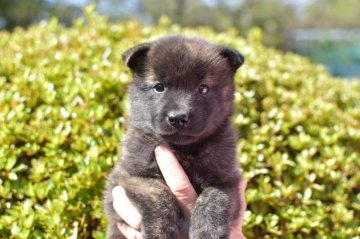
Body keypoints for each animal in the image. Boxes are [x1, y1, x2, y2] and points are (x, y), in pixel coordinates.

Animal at [104, 35, 245, 239]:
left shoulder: (228, 180)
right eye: (159, 87)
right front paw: (158, 232)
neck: (182, 150)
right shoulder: (130, 176)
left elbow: (214, 198)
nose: (178, 117)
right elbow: (157, 194)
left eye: (203, 89)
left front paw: (207, 231)